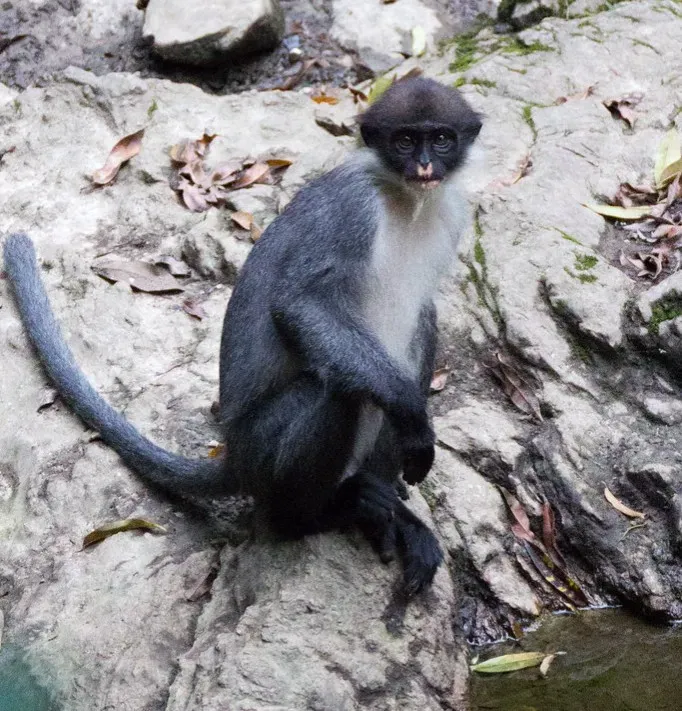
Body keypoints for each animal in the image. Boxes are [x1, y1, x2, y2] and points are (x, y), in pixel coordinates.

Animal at [3, 77, 482, 595]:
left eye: (441, 139)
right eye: (405, 141)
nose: (425, 166)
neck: (405, 201)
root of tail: (233, 455)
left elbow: (423, 315)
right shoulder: (350, 209)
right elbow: (300, 305)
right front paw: (413, 416)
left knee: (417, 331)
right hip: (264, 451)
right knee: (337, 389)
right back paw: (314, 516)